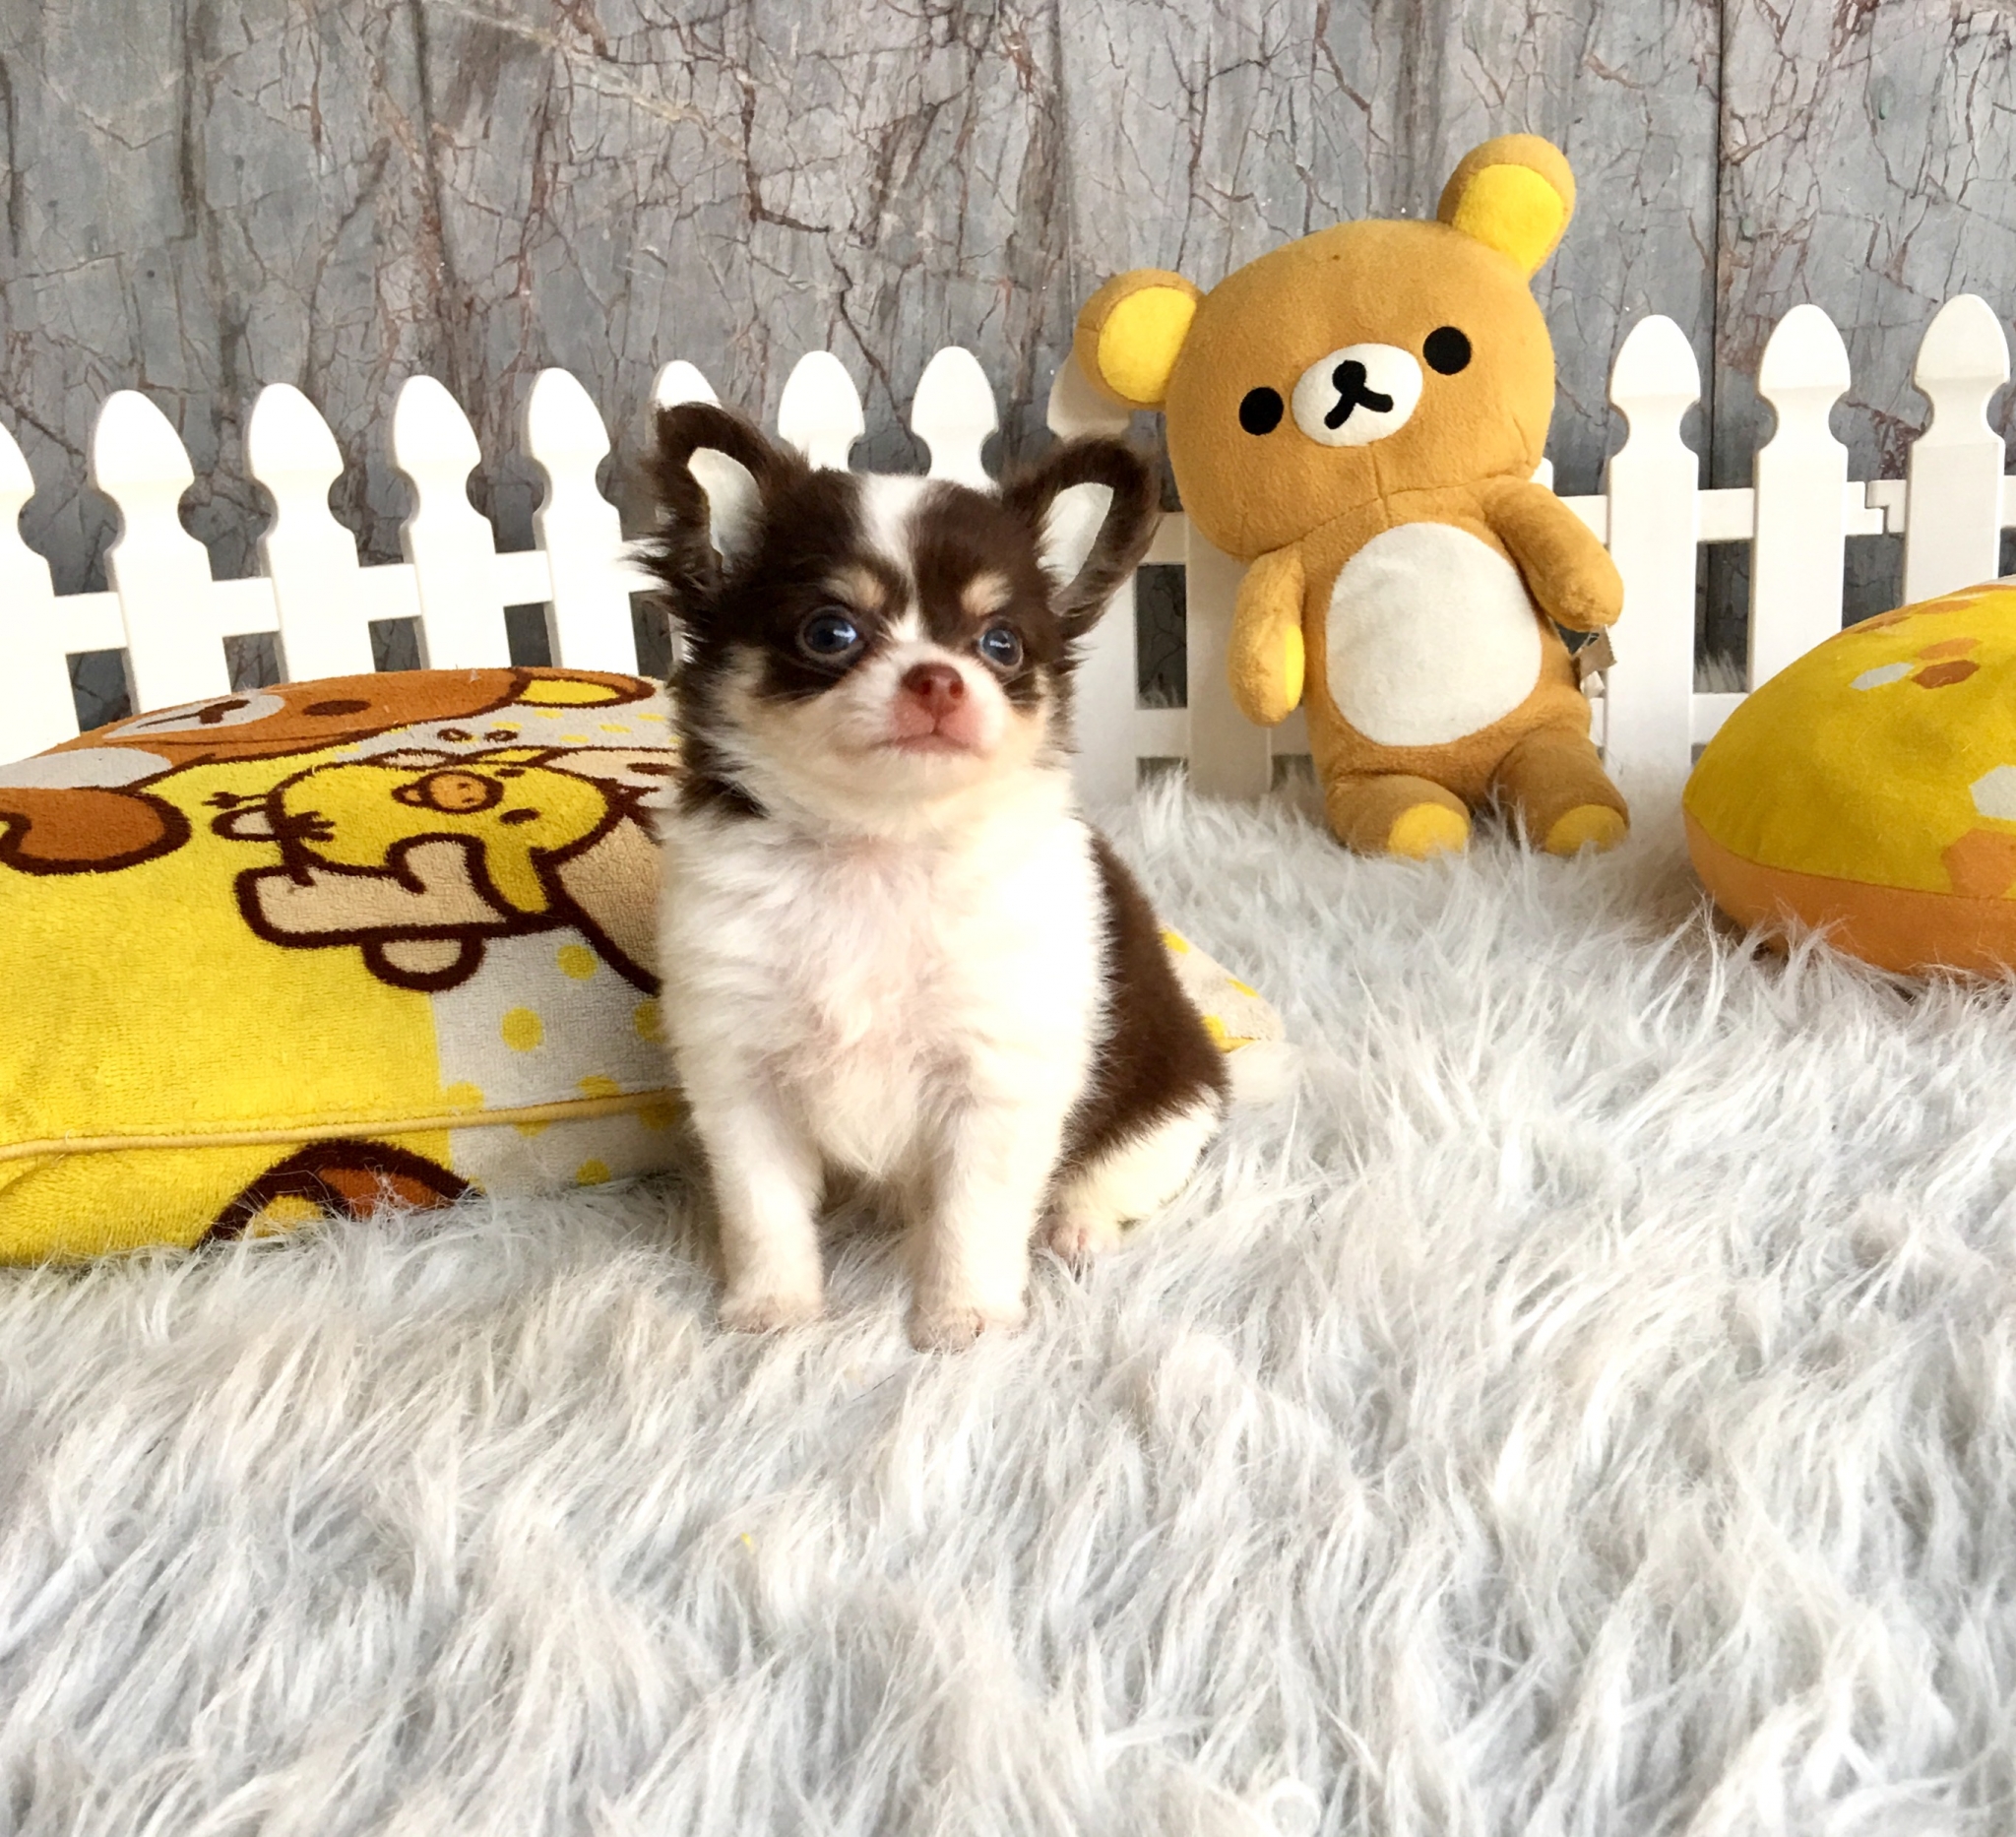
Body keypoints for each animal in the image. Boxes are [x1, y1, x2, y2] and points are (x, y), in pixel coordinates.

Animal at [645, 403, 1228, 1350]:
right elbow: (764, 1210)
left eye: (1001, 644)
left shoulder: (996, 1081)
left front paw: (963, 1321)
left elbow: (973, 1217)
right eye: (830, 632)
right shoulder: (740, 1075)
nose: (939, 679)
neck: (879, 847)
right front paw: (775, 1308)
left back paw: (1075, 1228)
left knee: (1116, 1177)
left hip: (1173, 1102)